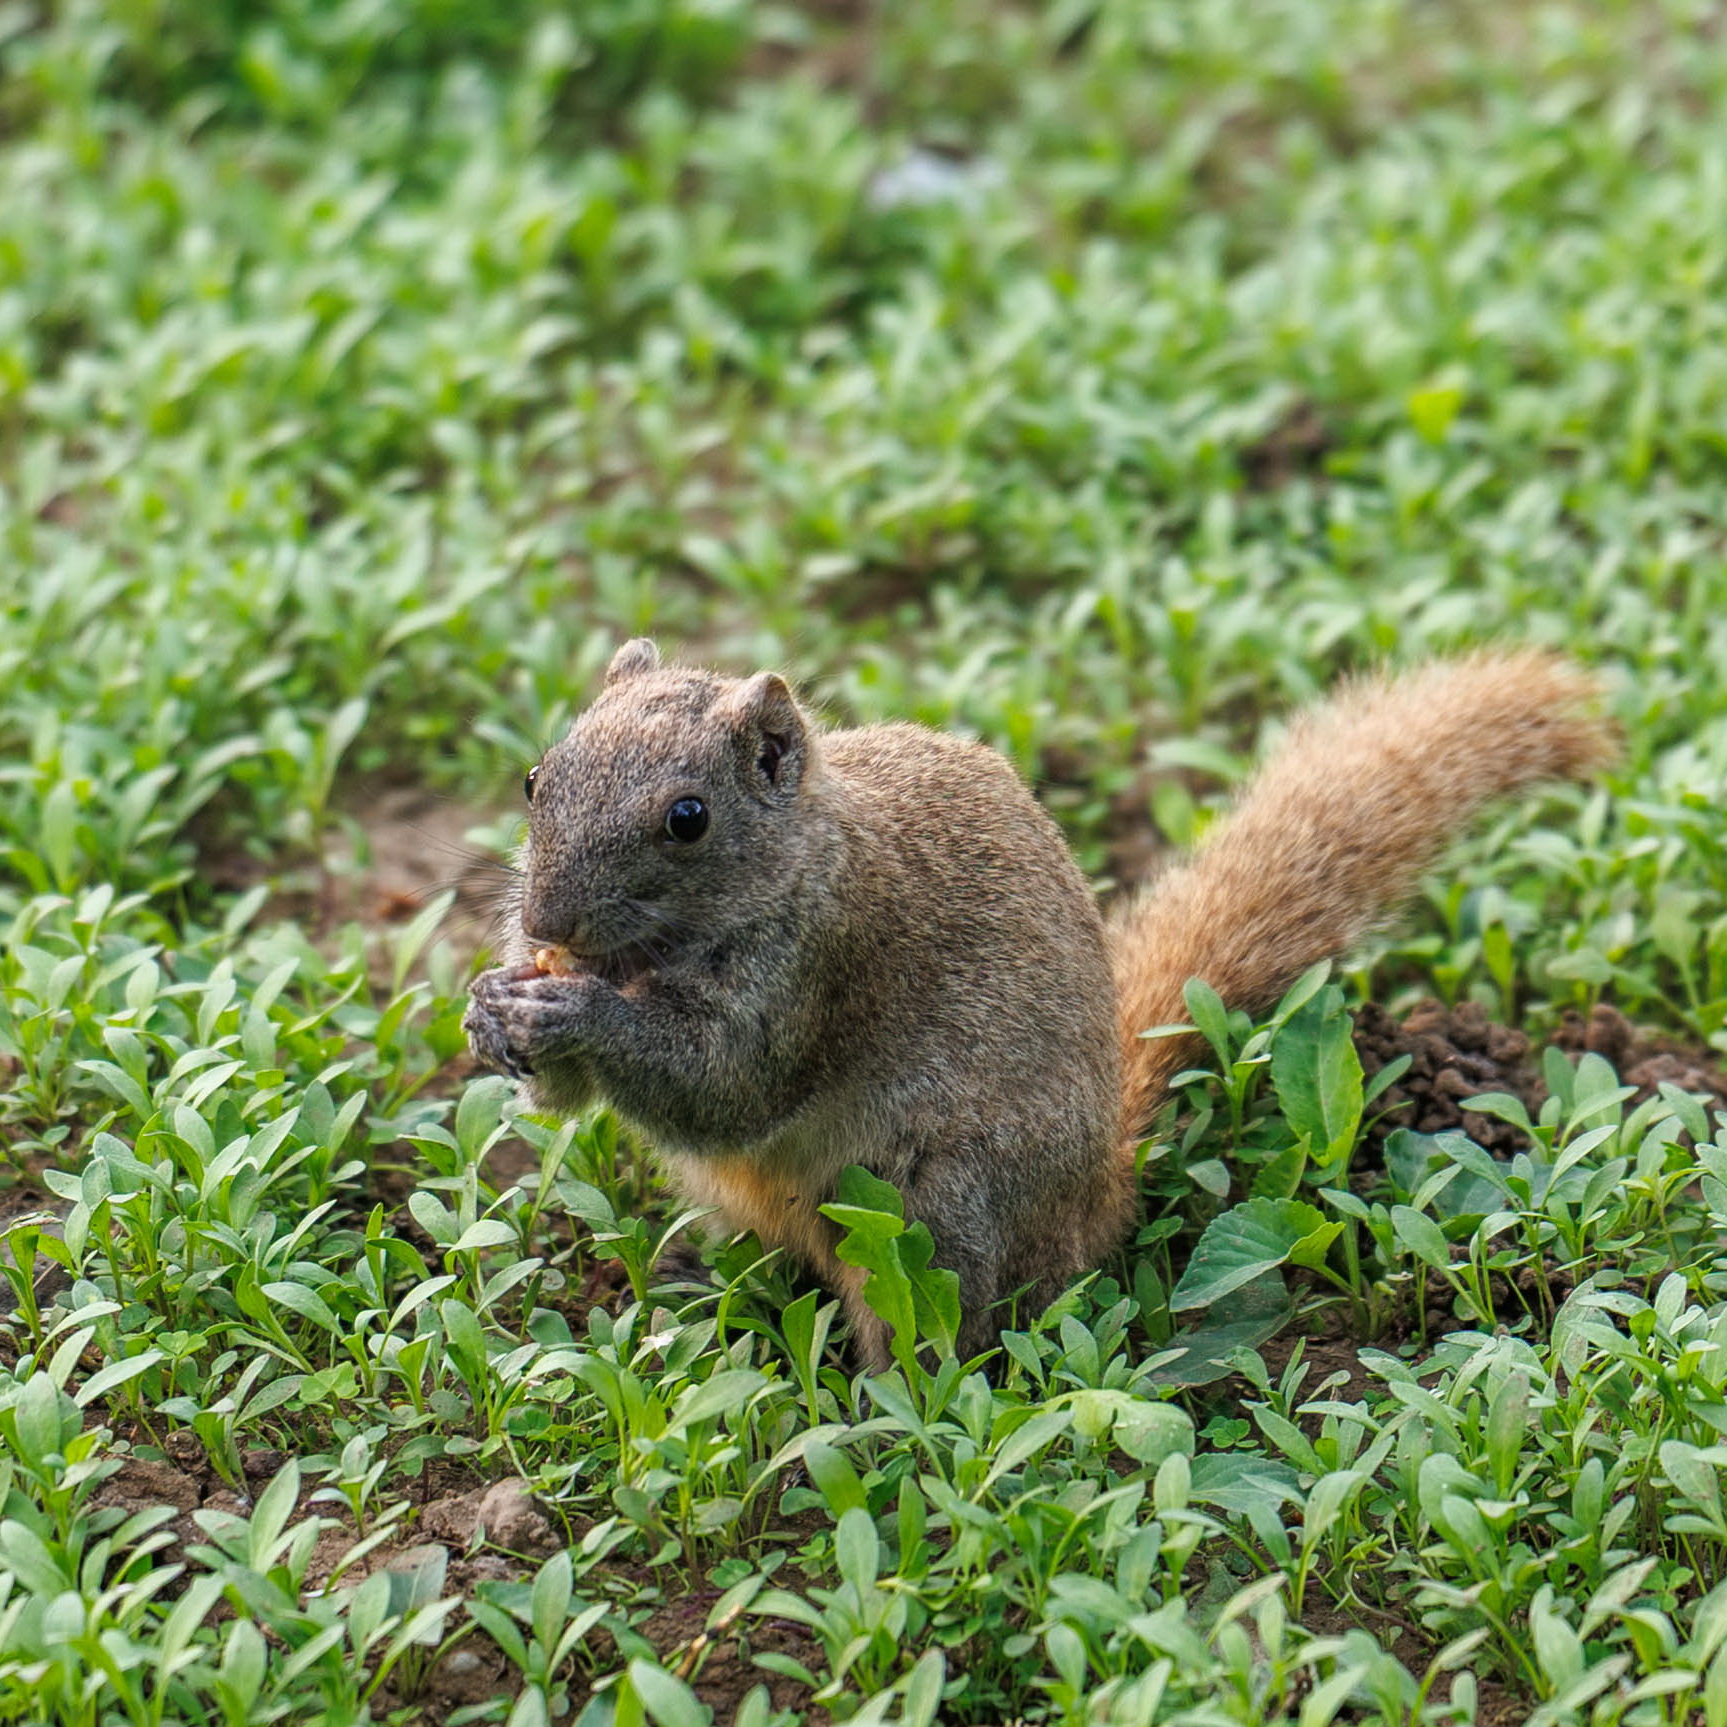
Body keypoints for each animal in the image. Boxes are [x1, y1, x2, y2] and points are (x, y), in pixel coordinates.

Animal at [463, 639, 1613, 1367]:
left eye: (688, 818)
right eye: (533, 777)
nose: (545, 912)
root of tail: (1098, 1196)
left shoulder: (822, 961)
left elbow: (725, 1085)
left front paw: (570, 1015)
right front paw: (491, 1004)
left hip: (932, 1210)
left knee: (934, 1319)